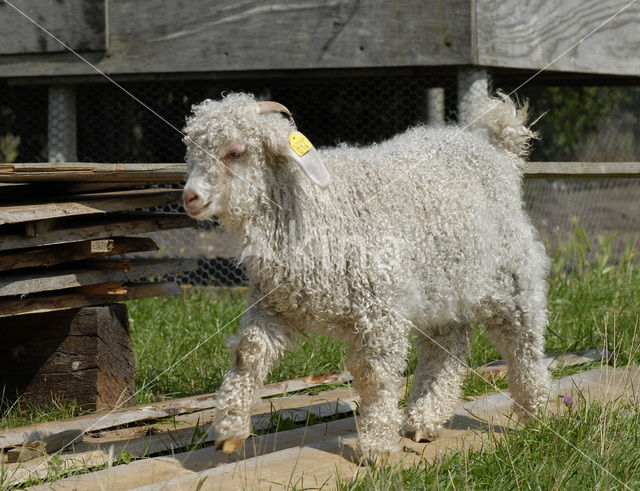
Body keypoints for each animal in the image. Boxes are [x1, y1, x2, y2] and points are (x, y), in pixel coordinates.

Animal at [181, 91, 552, 462]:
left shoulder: (379, 310)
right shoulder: (273, 305)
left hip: (510, 276)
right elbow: (248, 355)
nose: (190, 197)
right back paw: (423, 421)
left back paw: (537, 414)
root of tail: (497, 150)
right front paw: (229, 430)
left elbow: (374, 376)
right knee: (447, 346)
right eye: (192, 152)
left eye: (235, 152)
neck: (312, 206)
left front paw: (377, 447)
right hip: (441, 286)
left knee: (523, 343)